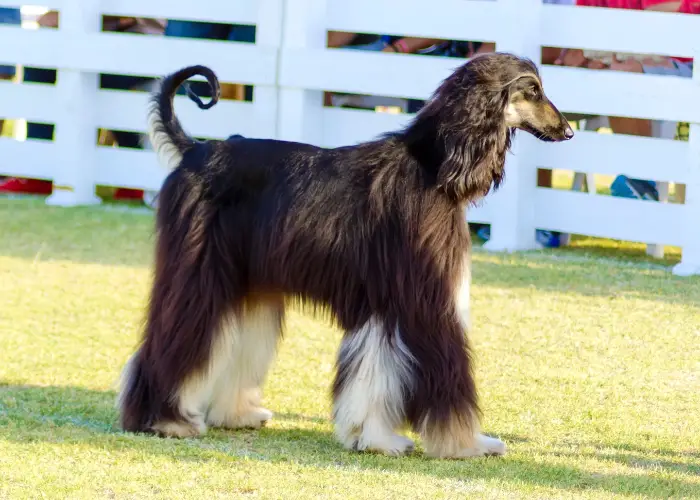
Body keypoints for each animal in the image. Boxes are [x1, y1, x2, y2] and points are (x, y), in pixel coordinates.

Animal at [116, 52, 576, 458]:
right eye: (533, 90)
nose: (569, 131)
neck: (433, 168)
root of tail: (194, 150)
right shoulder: (425, 297)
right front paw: (467, 443)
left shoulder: (384, 302)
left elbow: (373, 373)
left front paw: (372, 438)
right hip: (200, 273)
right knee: (175, 336)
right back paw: (165, 419)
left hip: (248, 281)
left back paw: (236, 414)